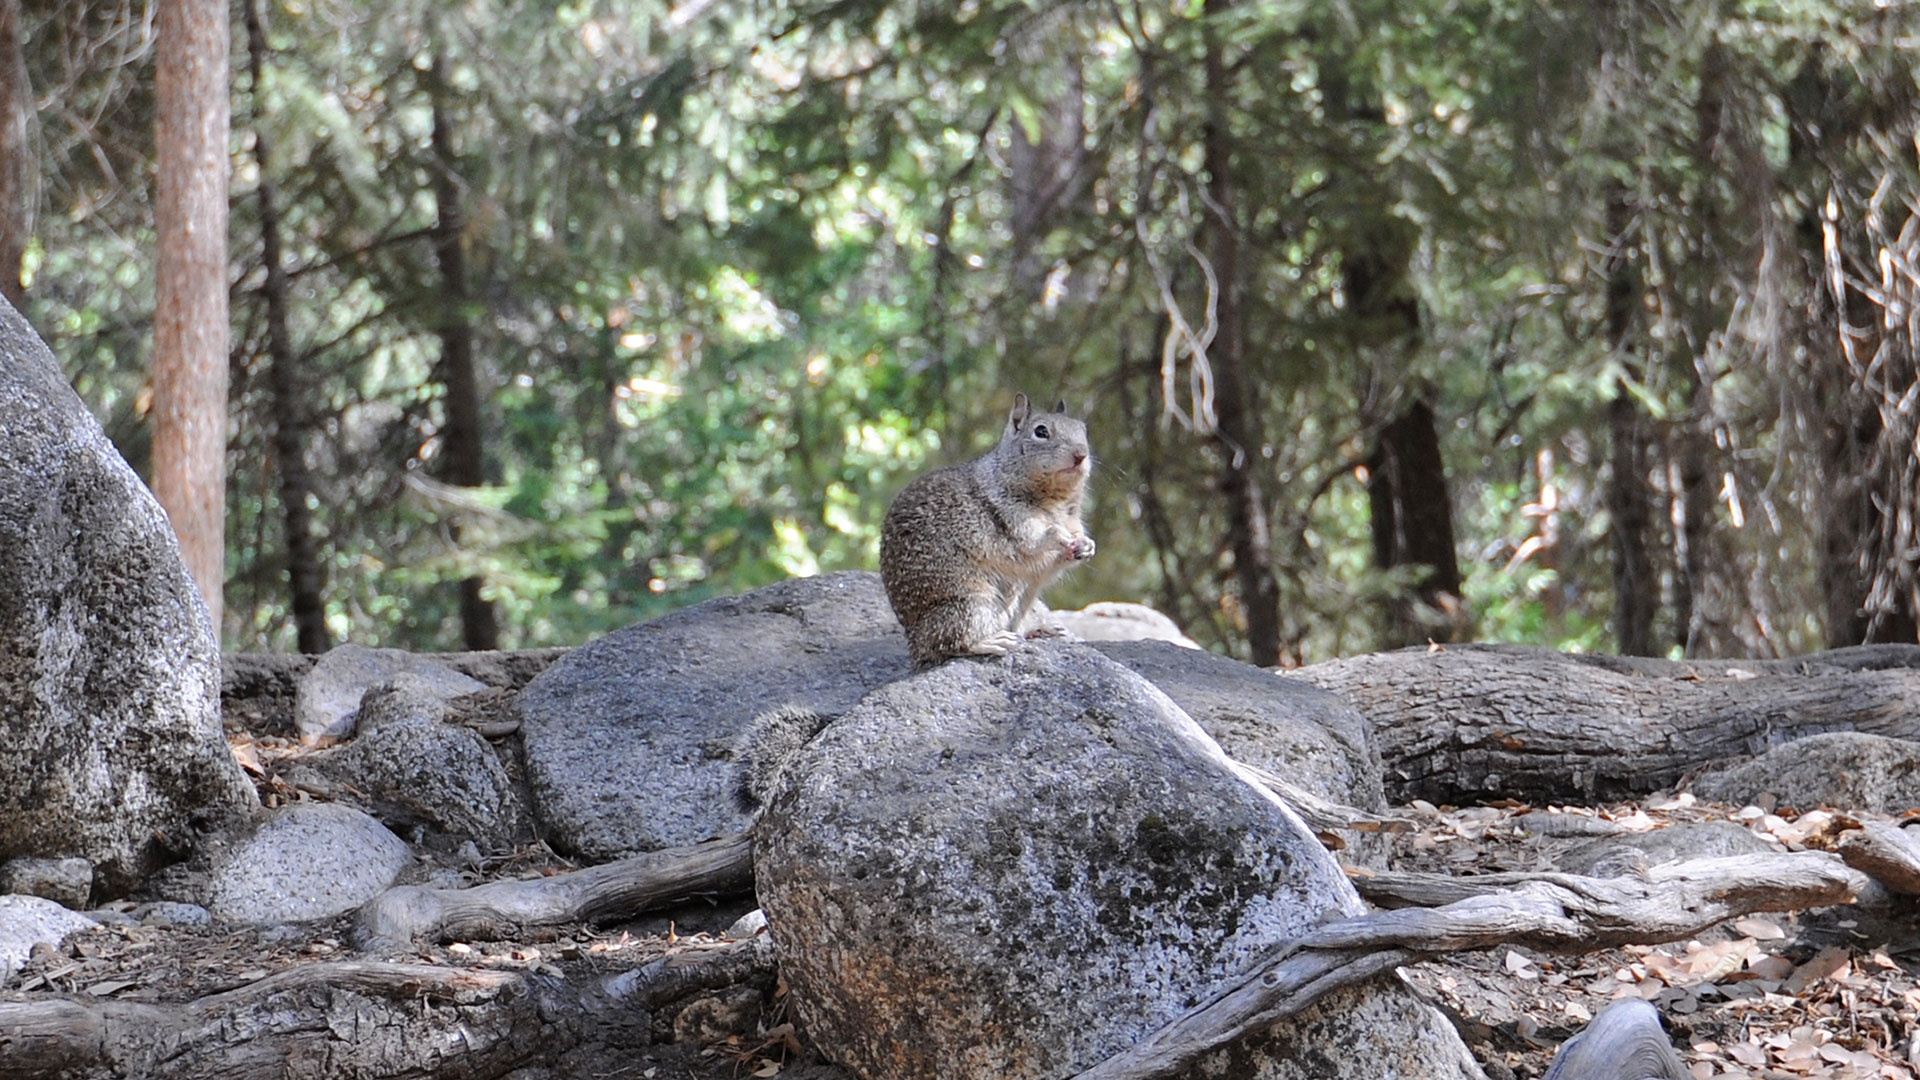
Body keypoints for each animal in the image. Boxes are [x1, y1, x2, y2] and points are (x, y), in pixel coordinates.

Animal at [879, 393, 1098, 664]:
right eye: (1041, 431)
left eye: (1083, 429)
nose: (1081, 455)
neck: (1056, 501)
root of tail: (912, 641)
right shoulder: (1012, 515)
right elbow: (1035, 539)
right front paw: (1059, 535)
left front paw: (1086, 545)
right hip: (971, 604)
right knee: (947, 643)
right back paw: (993, 640)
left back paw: (1042, 629)